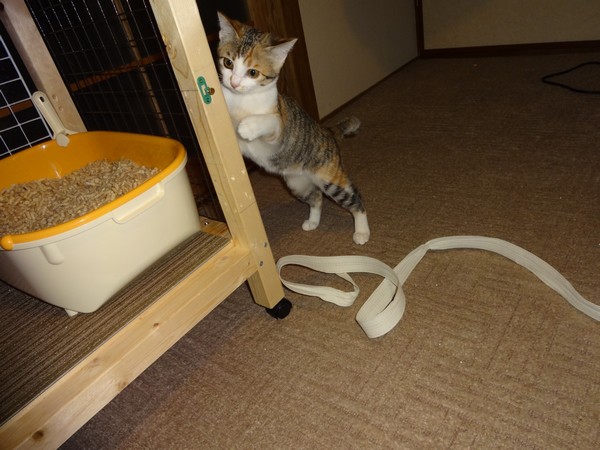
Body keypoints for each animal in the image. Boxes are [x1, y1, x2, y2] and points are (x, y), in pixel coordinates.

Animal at [216, 12, 370, 245]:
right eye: (228, 63)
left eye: (253, 72)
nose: (234, 83)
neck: (242, 101)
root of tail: (327, 131)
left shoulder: (278, 127)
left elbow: (269, 121)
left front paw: (248, 127)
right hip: (297, 183)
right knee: (316, 198)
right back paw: (312, 222)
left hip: (330, 179)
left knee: (355, 198)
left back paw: (361, 231)